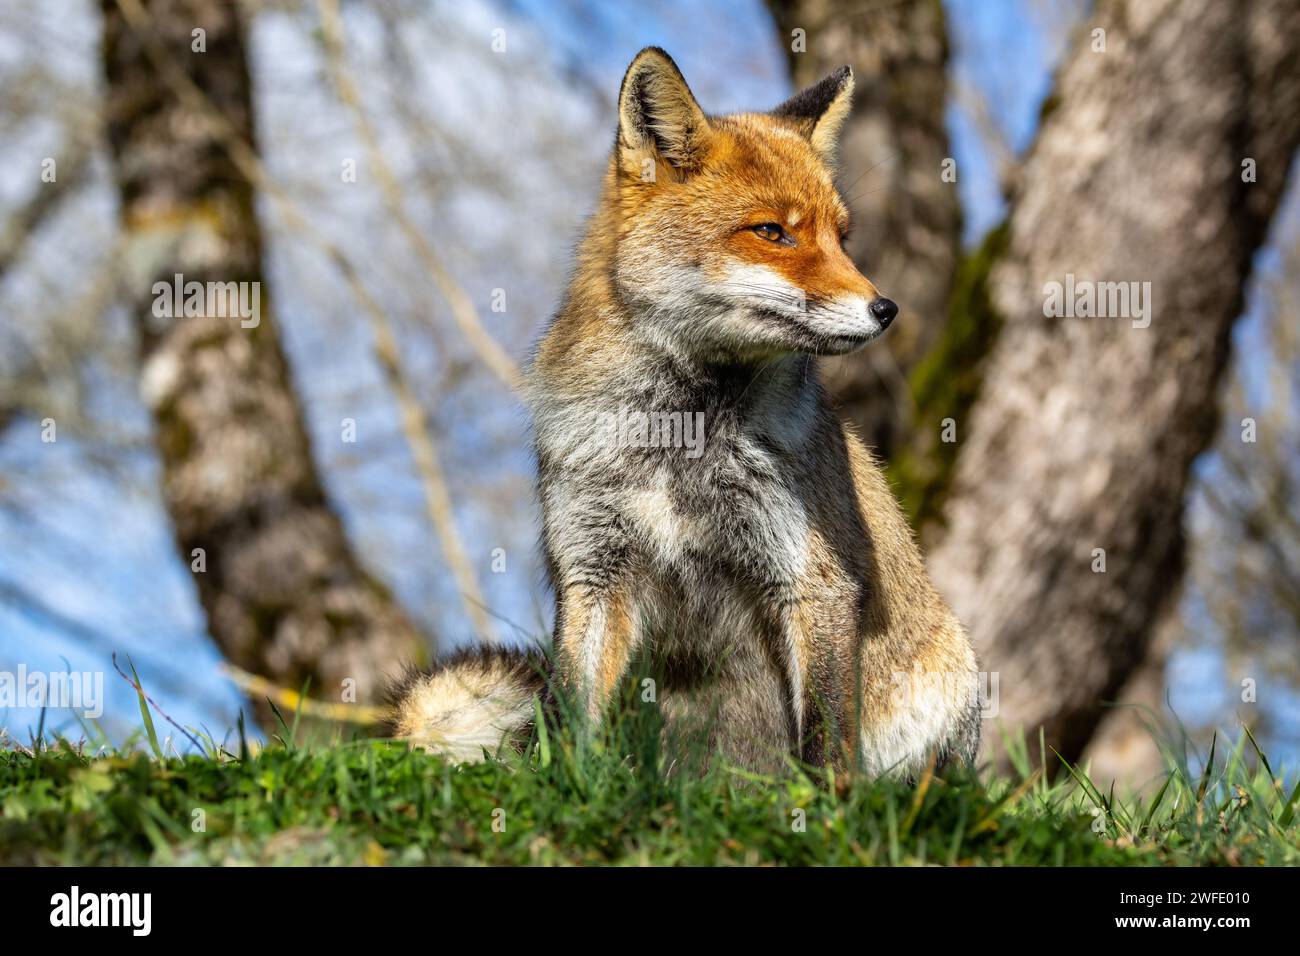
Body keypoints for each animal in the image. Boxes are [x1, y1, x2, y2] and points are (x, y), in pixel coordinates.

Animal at [390, 48, 977, 780]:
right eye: (772, 232)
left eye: (842, 238)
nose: (886, 309)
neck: (678, 436)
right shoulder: (594, 569)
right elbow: (572, 714)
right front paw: (570, 791)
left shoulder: (811, 577)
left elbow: (824, 740)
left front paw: (828, 809)